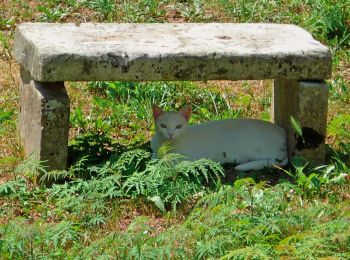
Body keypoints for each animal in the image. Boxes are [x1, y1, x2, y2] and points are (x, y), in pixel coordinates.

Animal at [150, 104, 288, 172]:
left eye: (178, 126)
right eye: (163, 126)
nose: (171, 133)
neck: (164, 145)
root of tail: (282, 132)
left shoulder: (186, 159)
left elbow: (166, 163)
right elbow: (154, 157)